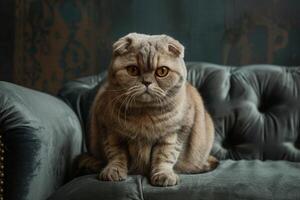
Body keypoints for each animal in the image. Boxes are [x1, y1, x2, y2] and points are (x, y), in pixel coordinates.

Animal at [76, 32, 218, 186]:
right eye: (133, 70)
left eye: (162, 71)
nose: (147, 82)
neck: (145, 114)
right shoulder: (111, 131)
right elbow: (116, 154)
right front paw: (113, 171)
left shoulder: (174, 133)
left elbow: (164, 156)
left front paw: (163, 175)